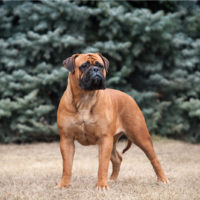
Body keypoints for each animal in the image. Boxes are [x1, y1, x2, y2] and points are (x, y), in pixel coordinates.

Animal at [56, 52, 169, 189]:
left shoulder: (104, 139)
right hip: (114, 140)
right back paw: (112, 179)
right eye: (84, 66)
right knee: (117, 158)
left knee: (154, 158)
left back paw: (163, 179)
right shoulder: (66, 139)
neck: (85, 99)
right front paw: (63, 185)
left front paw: (101, 186)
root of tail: (129, 97)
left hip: (140, 136)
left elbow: (102, 165)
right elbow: (67, 166)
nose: (95, 69)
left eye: (100, 65)